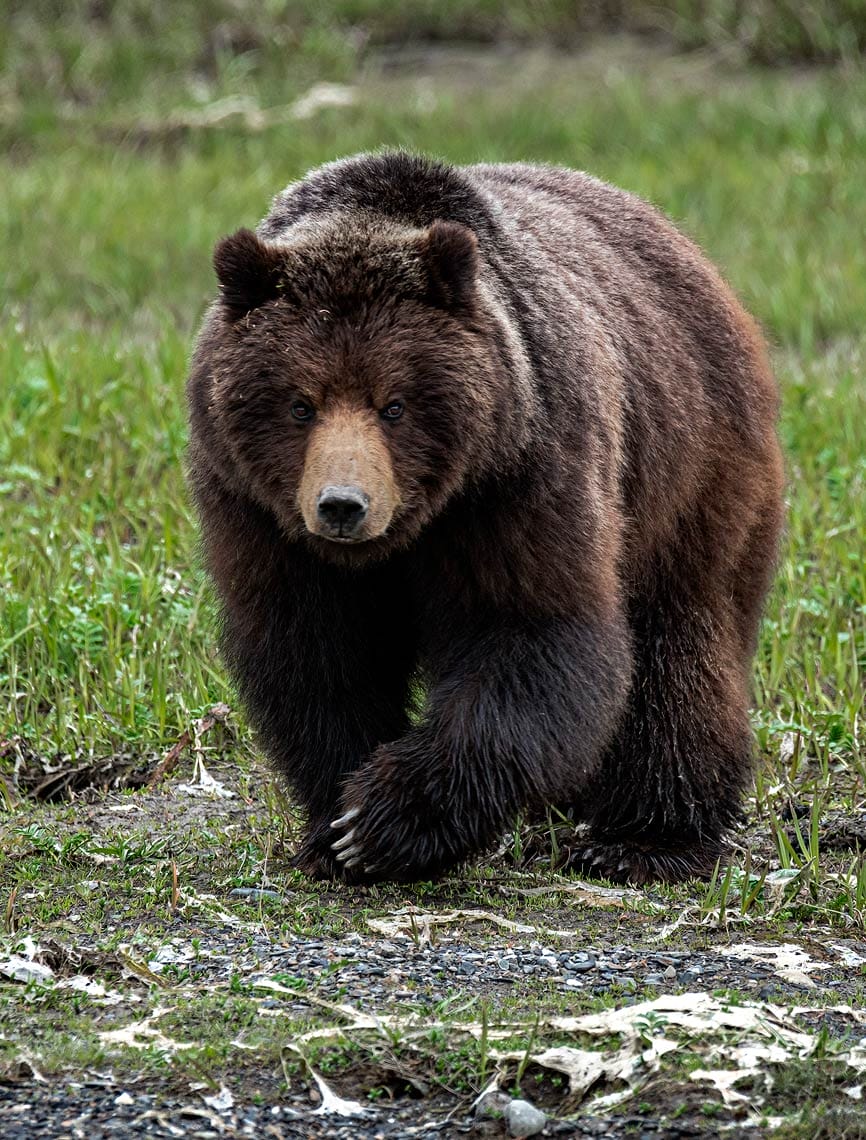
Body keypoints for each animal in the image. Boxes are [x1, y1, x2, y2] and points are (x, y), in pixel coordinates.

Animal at [186, 151, 784, 885]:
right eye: (301, 404)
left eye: (394, 404)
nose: (343, 506)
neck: (412, 529)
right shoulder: (259, 514)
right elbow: (317, 656)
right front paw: (335, 828)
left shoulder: (519, 477)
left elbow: (528, 633)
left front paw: (384, 820)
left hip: (686, 469)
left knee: (682, 647)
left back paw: (643, 838)